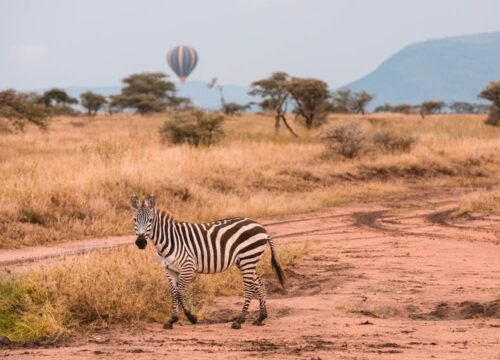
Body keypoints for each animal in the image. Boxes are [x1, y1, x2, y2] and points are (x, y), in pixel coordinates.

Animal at [130, 197, 286, 330]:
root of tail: (262, 228)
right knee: (260, 284)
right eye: (135, 220)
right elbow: (173, 293)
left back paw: (239, 320)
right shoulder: (169, 269)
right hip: (245, 261)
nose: (140, 242)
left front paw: (191, 317)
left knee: (249, 288)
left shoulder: (188, 266)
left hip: (248, 258)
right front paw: (172, 320)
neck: (169, 240)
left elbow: (179, 293)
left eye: (150, 220)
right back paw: (261, 317)